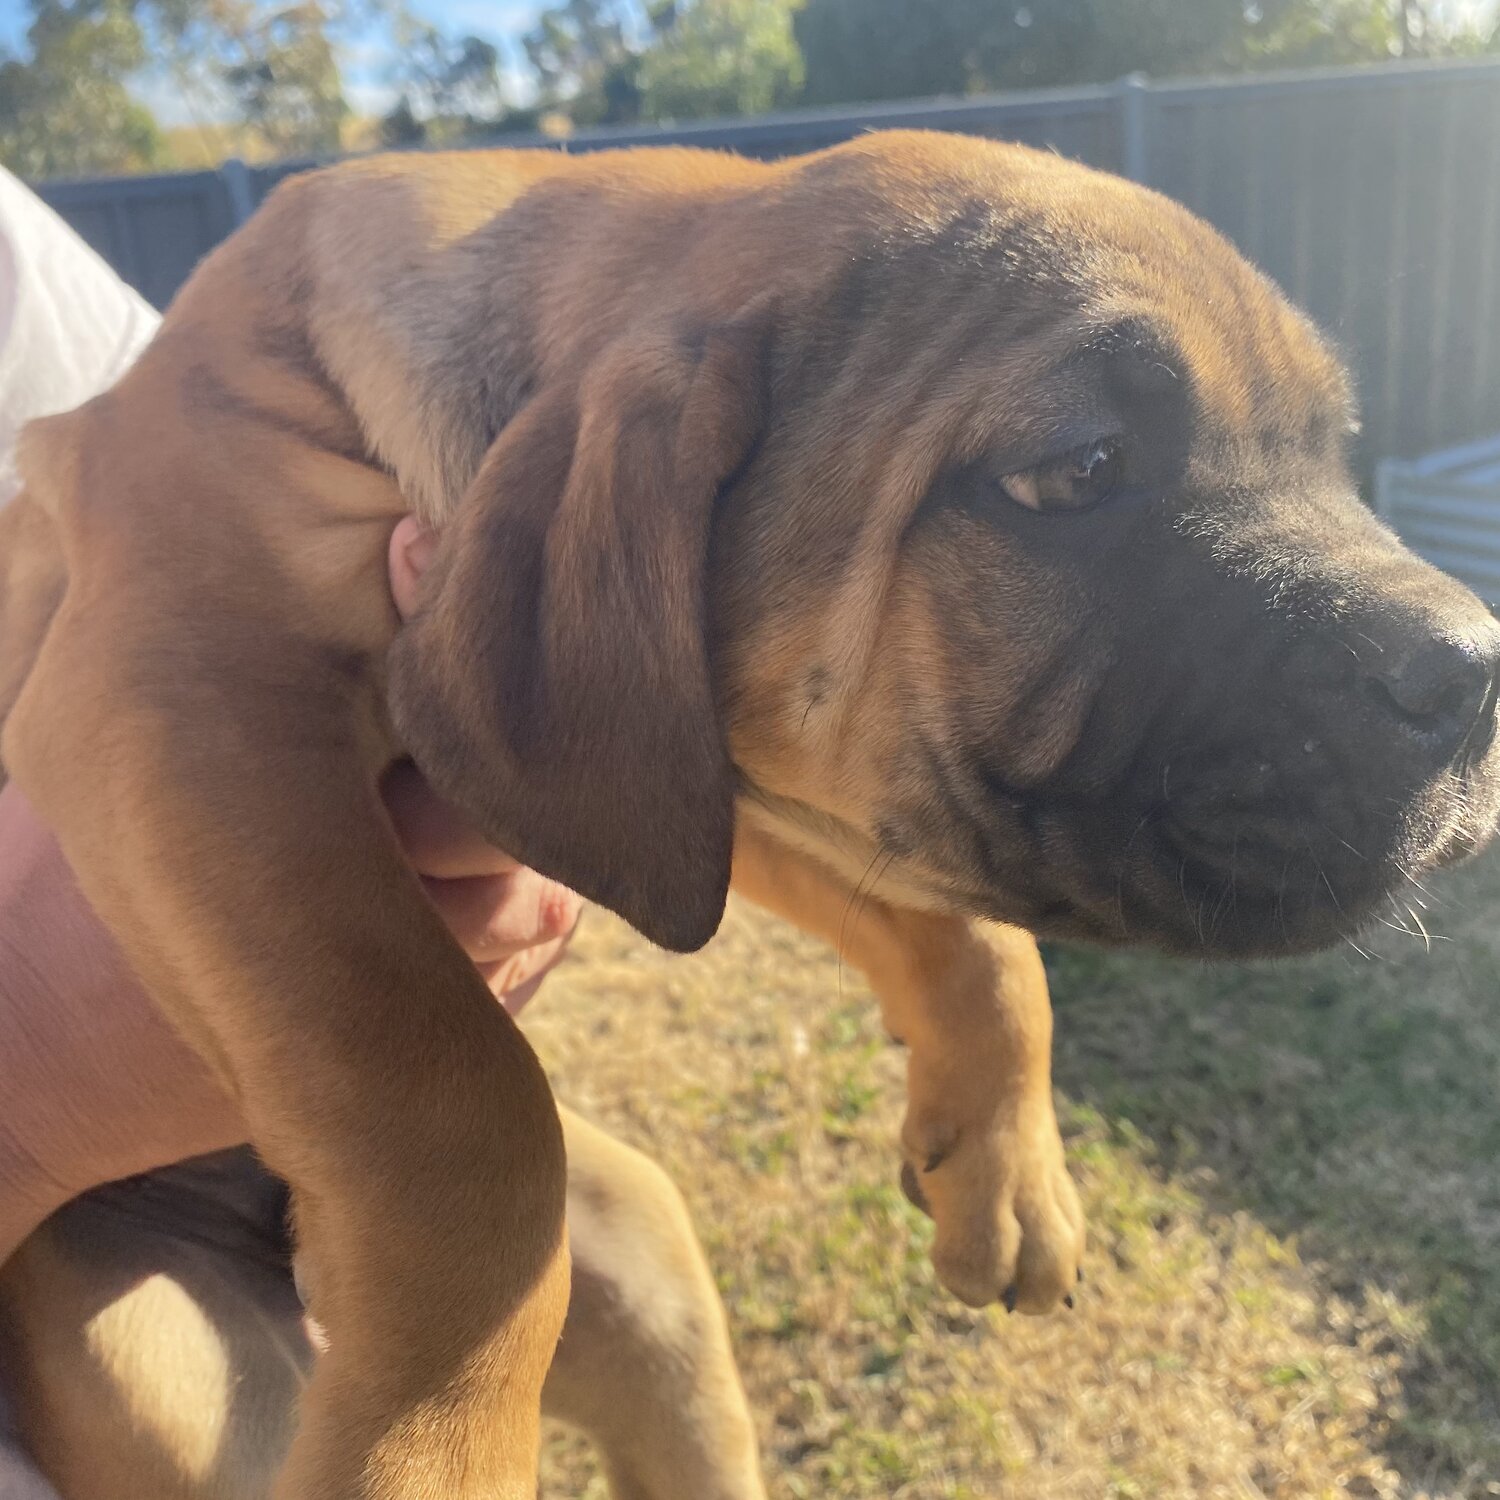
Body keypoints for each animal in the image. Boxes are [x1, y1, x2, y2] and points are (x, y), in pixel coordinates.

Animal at [0, 135, 1494, 1494]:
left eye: (1337, 453)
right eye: (1079, 468)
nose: (1477, 669)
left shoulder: (703, 788)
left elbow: (982, 947)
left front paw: (1005, 1169)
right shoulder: (188, 695)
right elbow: (447, 1087)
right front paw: (431, 1446)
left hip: (652, 1286)